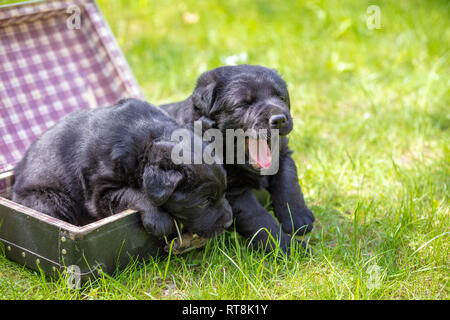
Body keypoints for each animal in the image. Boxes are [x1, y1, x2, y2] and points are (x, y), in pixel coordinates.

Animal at [162, 64, 312, 255]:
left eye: (281, 97)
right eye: (243, 104)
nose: (279, 119)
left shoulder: (283, 153)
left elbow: (288, 184)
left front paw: (298, 219)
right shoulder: (231, 191)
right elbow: (259, 219)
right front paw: (286, 247)